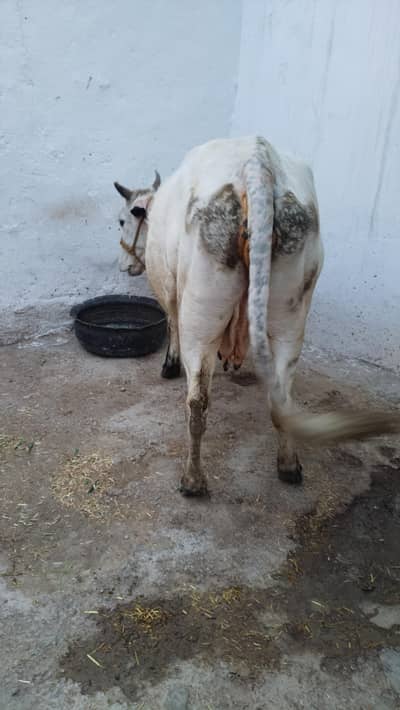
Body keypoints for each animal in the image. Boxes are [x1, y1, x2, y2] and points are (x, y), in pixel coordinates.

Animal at [114, 136, 400, 496]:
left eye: (122, 220)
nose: (124, 265)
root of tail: (256, 160)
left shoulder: (168, 289)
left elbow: (171, 326)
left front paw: (169, 365)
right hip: (290, 313)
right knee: (282, 396)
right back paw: (288, 465)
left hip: (201, 313)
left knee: (197, 402)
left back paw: (193, 480)